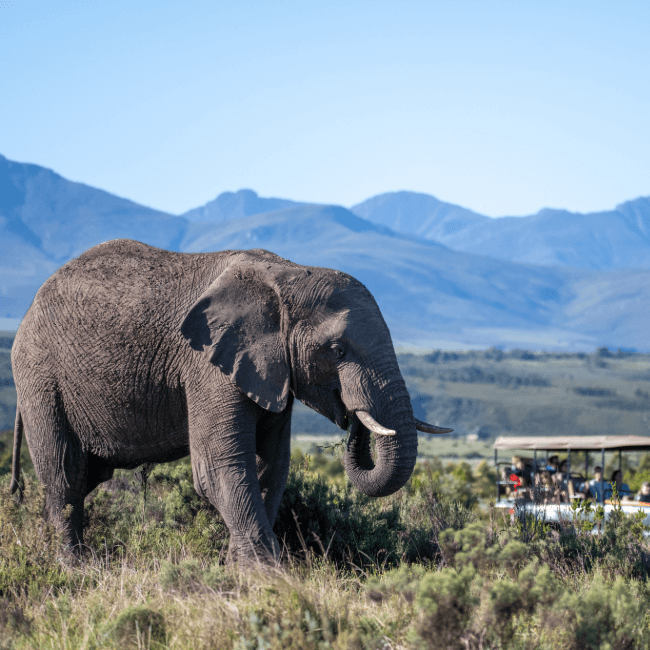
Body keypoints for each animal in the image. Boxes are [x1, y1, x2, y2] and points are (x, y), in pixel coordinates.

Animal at [10, 239, 451, 561]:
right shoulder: (206, 365)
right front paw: (265, 576)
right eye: (338, 350)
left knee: (85, 479)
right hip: (40, 378)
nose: (351, 418)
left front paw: (239, 570)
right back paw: (74, 570)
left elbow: (271, 467)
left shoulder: (272, 371)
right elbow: (219, 469)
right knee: (64, 475)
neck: (288, 275)